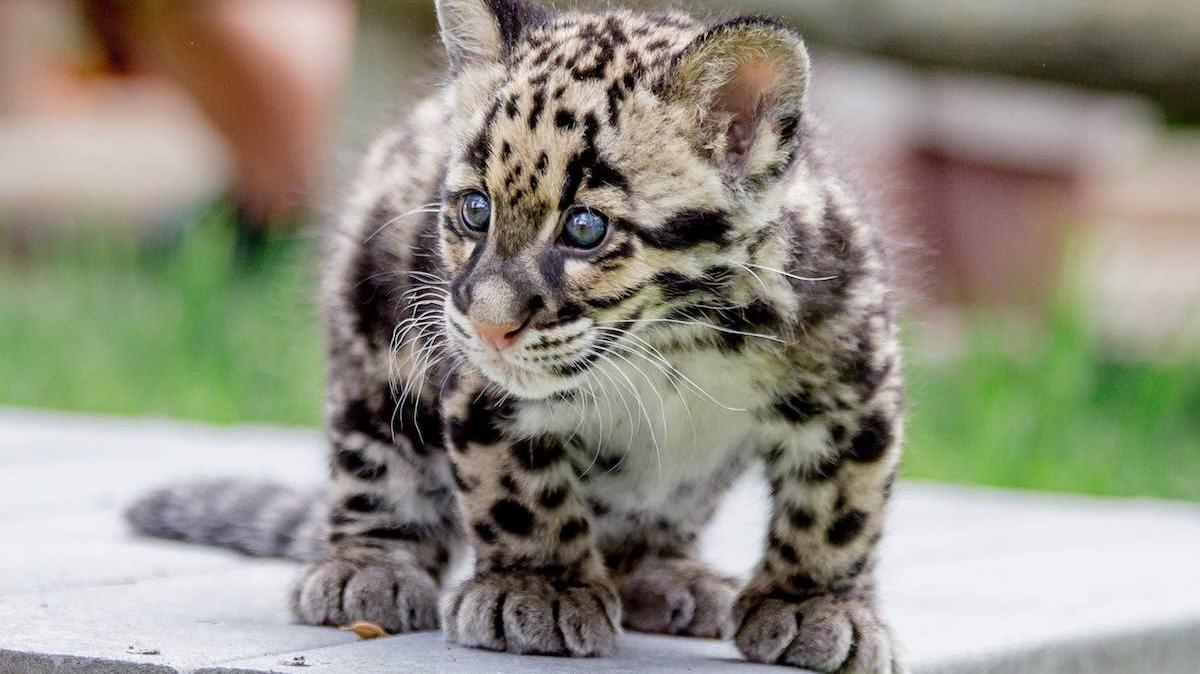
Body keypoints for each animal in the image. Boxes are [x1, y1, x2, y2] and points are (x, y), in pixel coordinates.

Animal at [127, 1, 906, 671]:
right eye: (475, 210)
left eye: (585, 228)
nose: (490, 323)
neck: (677, 344)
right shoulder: (480, 389)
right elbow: (518, 489)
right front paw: (540, 589)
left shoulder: (855, 382)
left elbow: (839, 508)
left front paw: (816, 606)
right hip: (371, 339)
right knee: (373, 463)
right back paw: (367, 569)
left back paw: (666, 576)